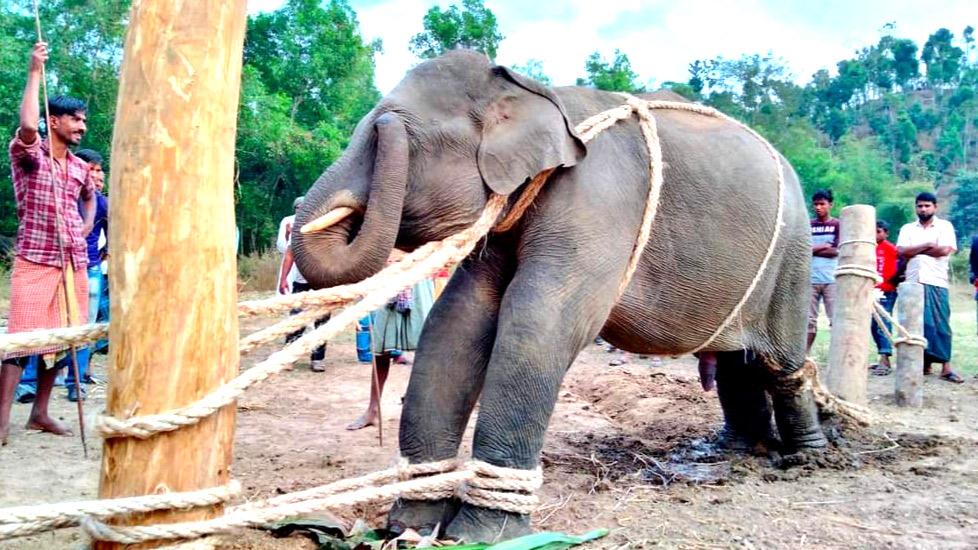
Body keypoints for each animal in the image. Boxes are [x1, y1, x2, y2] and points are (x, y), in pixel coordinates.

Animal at [290, 48, 824, 544]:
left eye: (397, 133)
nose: (384, 122)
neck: (532, 90)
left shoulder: (598, 200)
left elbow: (540, 322)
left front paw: (481, 537)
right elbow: (456, 321)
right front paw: (410, 528)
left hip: (793, 255)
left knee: (781, 362)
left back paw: (808, 458)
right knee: (737, 362)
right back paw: (739, 451)